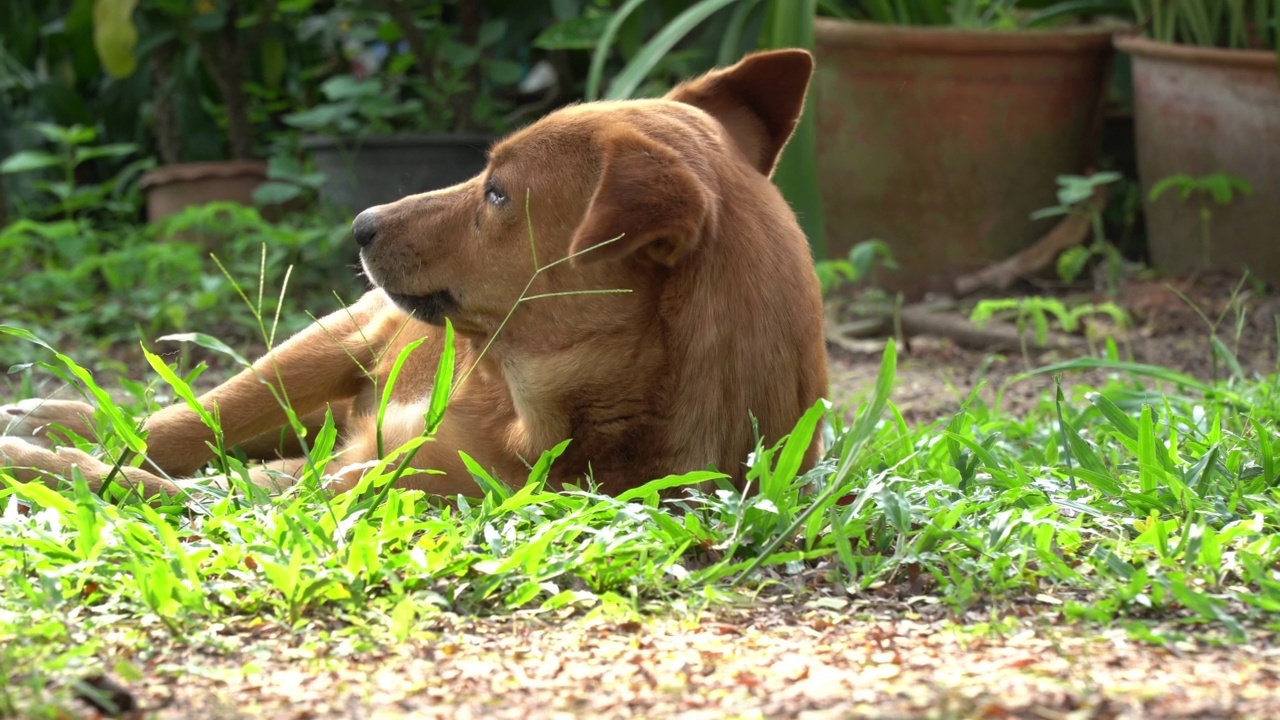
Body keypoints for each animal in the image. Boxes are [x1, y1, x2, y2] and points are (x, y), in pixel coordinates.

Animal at [0, 50, 829, 497]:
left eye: (497, 194)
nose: (361, 223)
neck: (522, 410)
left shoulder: (346, 482)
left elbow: (170, 488)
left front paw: (49, 470)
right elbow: (168, 448)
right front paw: (53, 452)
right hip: (335, 338)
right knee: (184, 419)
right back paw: (56, 416)